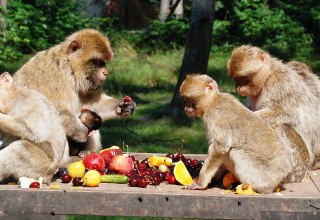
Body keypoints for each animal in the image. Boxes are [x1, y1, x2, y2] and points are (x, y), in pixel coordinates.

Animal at [12, 28, 136, 156]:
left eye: (103, 62)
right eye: (96, 62)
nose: (105, 73)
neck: (68, 69)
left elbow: (93, 106)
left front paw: (123, 107)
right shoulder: (51, 75)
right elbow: (47, 109)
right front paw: (80, 131)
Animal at [180, 75, 308, 193]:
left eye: (188, 99)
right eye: (184, 100)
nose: (185, 108)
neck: (214, 100)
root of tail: (283, 177)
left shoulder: (214, 116)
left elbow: (221, 147)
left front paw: (200, 183)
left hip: (263, 176)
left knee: (234, 152)